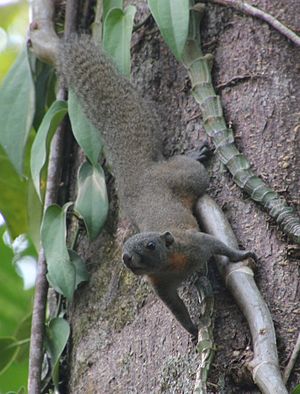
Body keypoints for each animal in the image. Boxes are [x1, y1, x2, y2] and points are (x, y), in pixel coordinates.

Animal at [57, 36, 256, 338]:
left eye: (150, 245)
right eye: (125, 253)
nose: (128, 258)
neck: (170, 265)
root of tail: (139, 177)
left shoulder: (195, 243)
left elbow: (219, 246)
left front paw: (241, 254)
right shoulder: (161, 287)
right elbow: (177, 309)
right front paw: (193, 330)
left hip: (186, 177)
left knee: (192, 172)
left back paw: (196, 155)